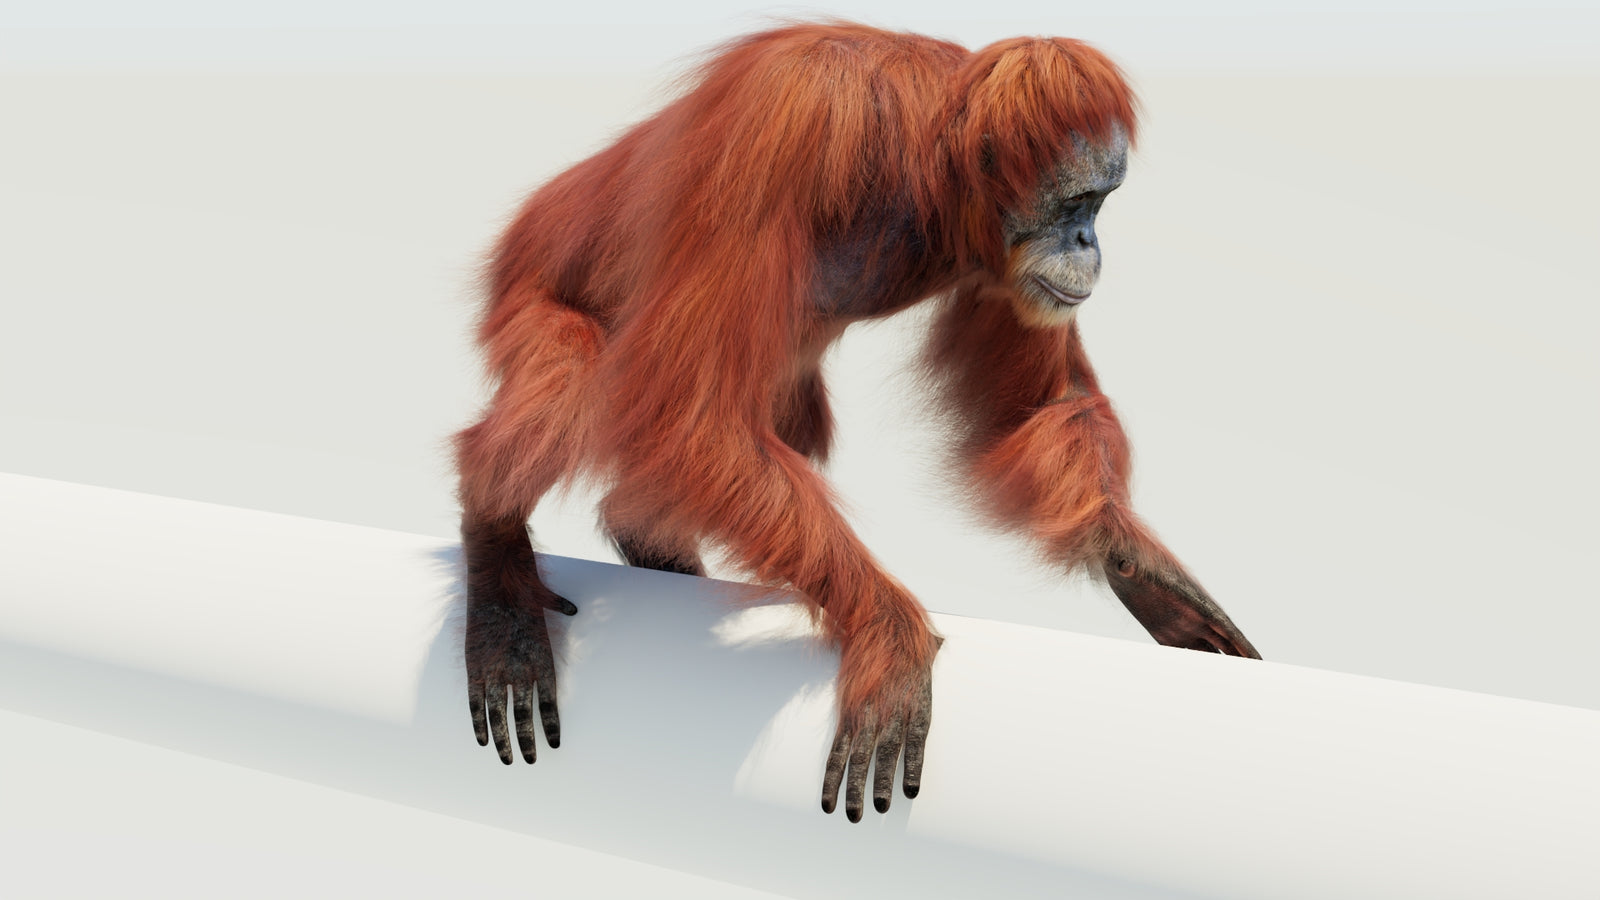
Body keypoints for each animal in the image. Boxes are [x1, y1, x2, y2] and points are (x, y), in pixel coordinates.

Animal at [454, 21, 1261, 824]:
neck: (923, 167)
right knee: (572, 377)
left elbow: (1033, 410)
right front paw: (888, 633)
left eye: (1102, 203)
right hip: (527, 285)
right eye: (1078, 202)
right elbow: (694, 412)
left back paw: (645, 541)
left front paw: (1138, 565)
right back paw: (498, 564)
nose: (1091, 243)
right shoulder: (790, 119)